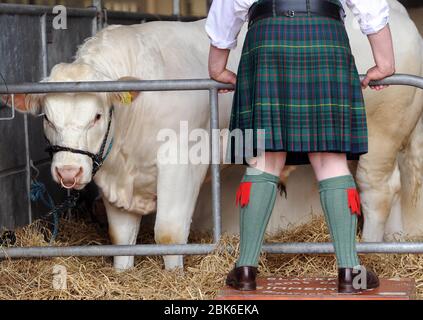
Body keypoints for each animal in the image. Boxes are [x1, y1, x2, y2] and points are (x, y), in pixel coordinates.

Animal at [9, 0, 423, 272]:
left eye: (96, 115)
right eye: (47, 117)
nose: (68, 173)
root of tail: (402, 16)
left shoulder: (181, 162)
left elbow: (169, 232)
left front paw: (174, 276)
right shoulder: (115, 177)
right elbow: (121, 237)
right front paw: (123, 273)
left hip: (380, 138)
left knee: (377, 191)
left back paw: (369, 248)